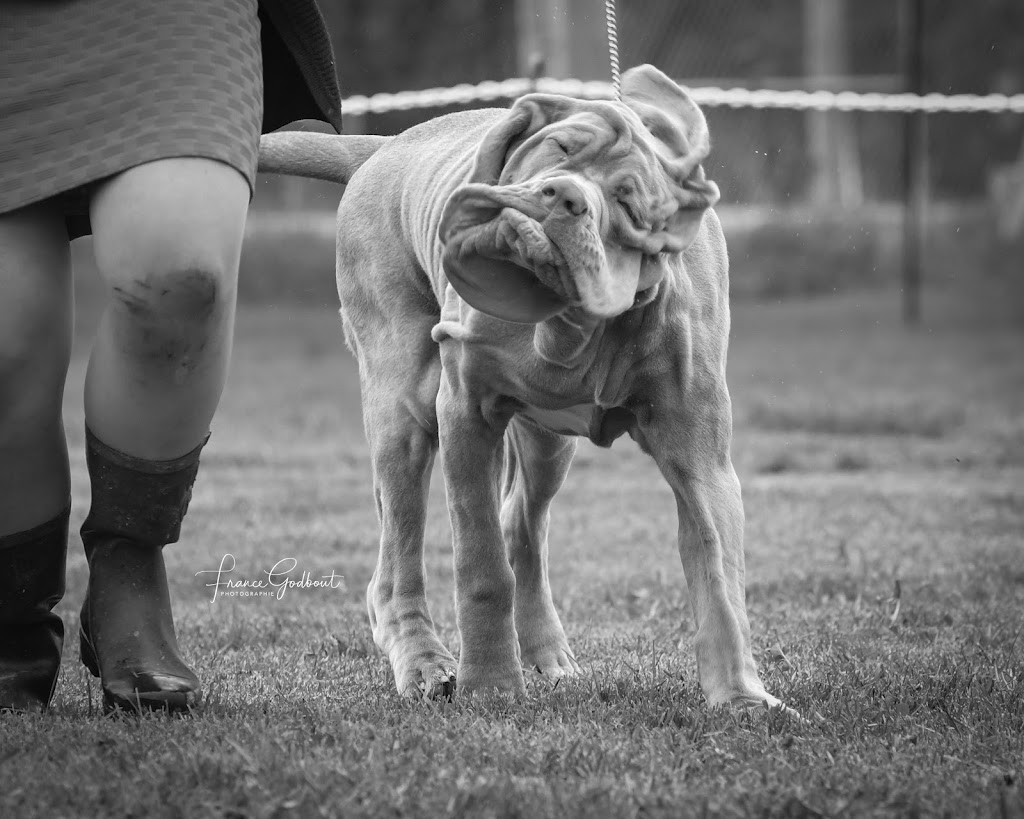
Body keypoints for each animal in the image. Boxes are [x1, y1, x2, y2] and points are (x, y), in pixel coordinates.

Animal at [262, 65, 782, 708]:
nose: (564, 195)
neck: (568, 323)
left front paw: (740, 697)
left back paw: (545, 654)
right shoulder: (465, 414)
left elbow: (717, 566)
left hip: (546, 441)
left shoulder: (699, 448)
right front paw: (491, 685)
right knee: (399, 558)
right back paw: (425, 662)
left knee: (521, 525)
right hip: (404, 408)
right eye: (559, 147)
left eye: (628, 199)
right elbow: (481, 565)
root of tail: (384, 148)